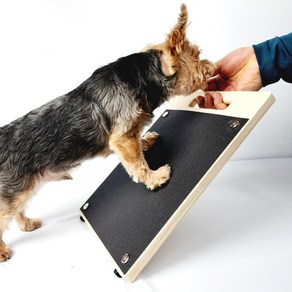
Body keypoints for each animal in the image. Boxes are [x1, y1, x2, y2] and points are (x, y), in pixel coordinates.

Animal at [0, 4, 214, 260]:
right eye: (197, 56)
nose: (213, 67)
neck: (142, 77)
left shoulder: (128, 136)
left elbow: (138, 145)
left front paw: (146, 141)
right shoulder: (121, 139)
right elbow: (138, 165)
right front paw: (155, 178)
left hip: (24, 188)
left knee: (16, 212)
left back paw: (28, 224)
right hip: (13, 190)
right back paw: (3, 251)